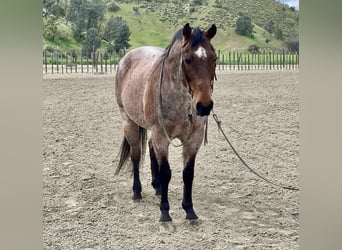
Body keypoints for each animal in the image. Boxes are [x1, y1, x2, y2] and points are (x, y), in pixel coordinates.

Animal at [115, 23, 216, 222]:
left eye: (214, 58)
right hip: (129, 122)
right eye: (187, 60)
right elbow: (166, 172)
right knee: (136, 155)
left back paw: (157, 187)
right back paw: (137, 191)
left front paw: (189, 210)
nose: (204, 106)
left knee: (149, 147)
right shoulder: (161, 136)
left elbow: (188, 174)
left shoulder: (194, 138)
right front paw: (165, 211)